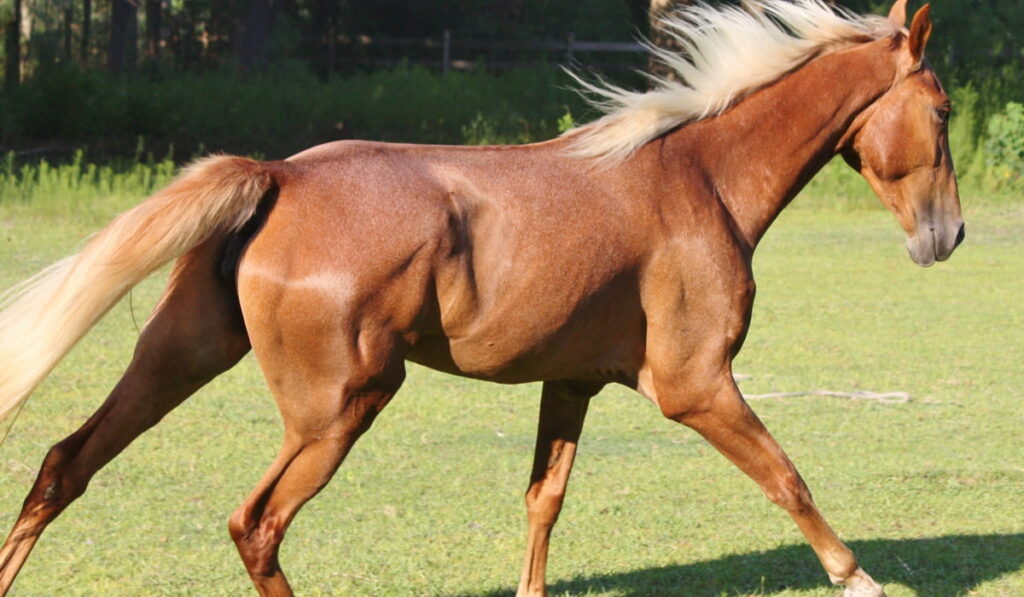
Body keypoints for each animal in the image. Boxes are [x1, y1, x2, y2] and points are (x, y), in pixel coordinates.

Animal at [0, 1, 958, 597]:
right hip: (339, 406)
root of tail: (276, 175)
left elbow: (544, 498)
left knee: (62, 465)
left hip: (180, 357)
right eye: (944, 109)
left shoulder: (572, 381)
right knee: (256, 523)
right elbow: (788, 477)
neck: (699, 178)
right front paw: (861, 577)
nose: (945, 237)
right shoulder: (695, 384)